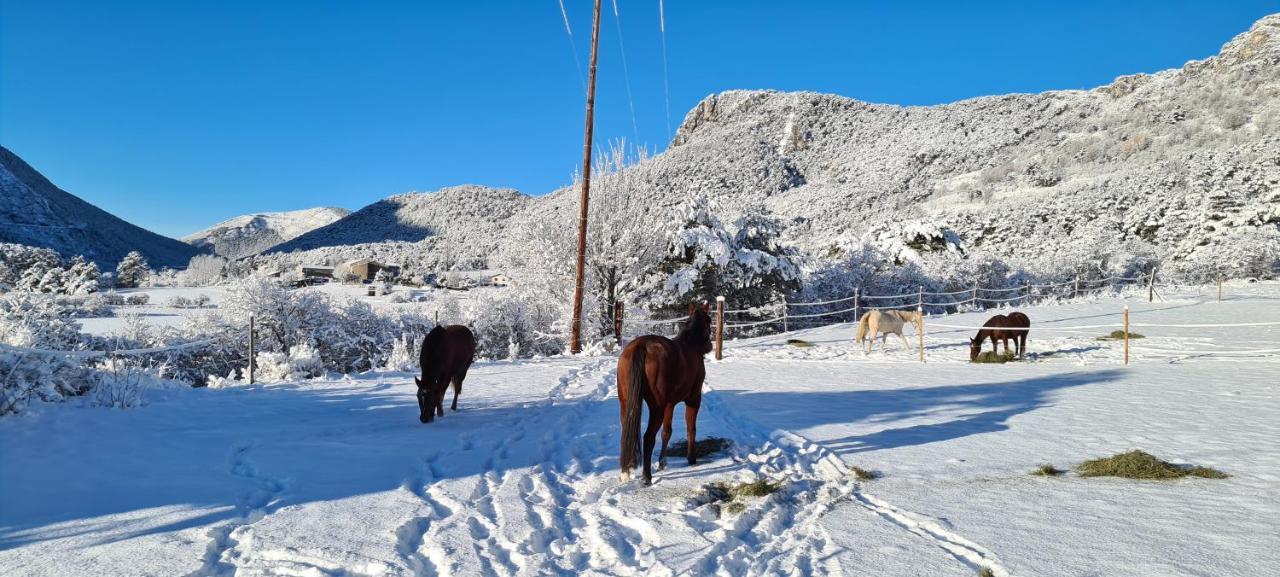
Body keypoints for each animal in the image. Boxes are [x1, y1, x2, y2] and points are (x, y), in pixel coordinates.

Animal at [616, 303, 716, 488]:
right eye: (709, 319)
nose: (709, 347)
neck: (691, 345)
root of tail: (641, 346)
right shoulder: (693, 399)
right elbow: (691, 428)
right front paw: (691, 459)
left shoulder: (670, 404)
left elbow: (666, 432)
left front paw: (662, 463)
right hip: (657, 408)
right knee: (648, 438)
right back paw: (646, 477)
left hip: (627, 403)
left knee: (626, 434)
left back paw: (625, 473)